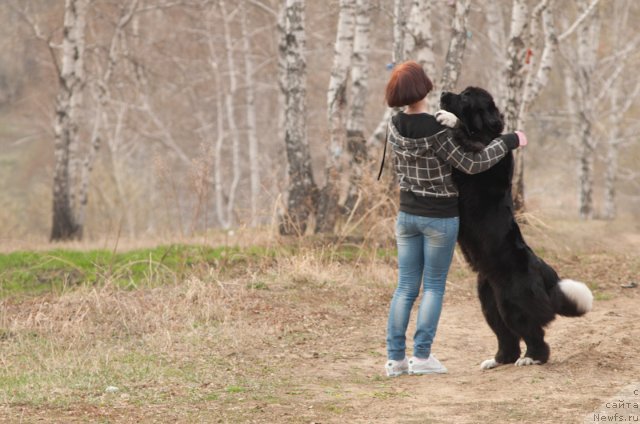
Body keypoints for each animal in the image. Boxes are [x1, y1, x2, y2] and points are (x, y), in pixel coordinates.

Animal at [438, 86, 592, 368]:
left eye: (465, 97)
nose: (443, 92)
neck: (486, 133)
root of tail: (545, 273)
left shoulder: (479, 156)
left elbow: (465, 136)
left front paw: (449, 119)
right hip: (490, 302)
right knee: (507, 337)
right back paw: (497, 360)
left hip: (514, 303)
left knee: (535, 336)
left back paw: (531, 359)